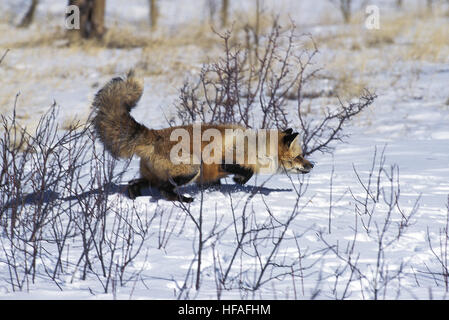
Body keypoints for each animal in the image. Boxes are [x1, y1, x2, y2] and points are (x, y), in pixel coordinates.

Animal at [92, 72, 314, 202]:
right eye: (299, 157)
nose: (312, 165)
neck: (258, 147)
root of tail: (155, 134)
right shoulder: (227, 160)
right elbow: (245, 172)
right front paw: (239, 180)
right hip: (192, 167)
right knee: (164, 190)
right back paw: (184, 200)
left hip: (154, 175)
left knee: (135, 183)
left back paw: (134, 196)